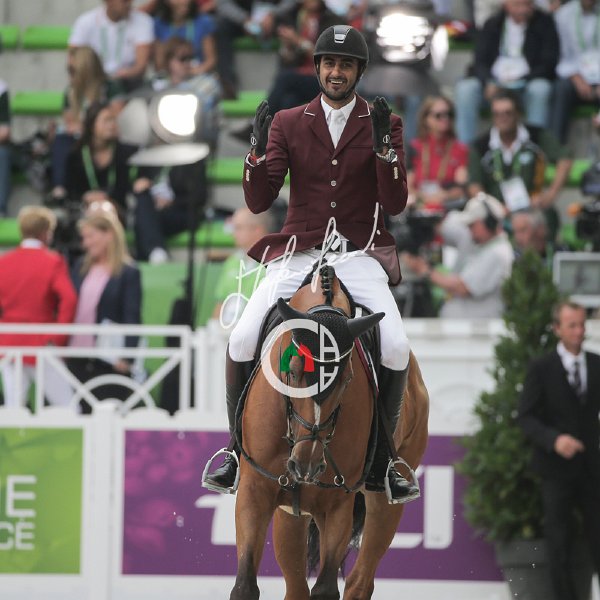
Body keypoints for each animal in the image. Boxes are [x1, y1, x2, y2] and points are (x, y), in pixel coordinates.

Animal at [230, 265, 429, 600]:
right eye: (293, 370)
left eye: (347, 379)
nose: (306, 465)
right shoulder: (254, 492)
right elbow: (244, 585)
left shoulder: (336, 504)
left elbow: (325, 589)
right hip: (290, 511)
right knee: (296, 586)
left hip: (381, 504)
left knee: (359, 580)